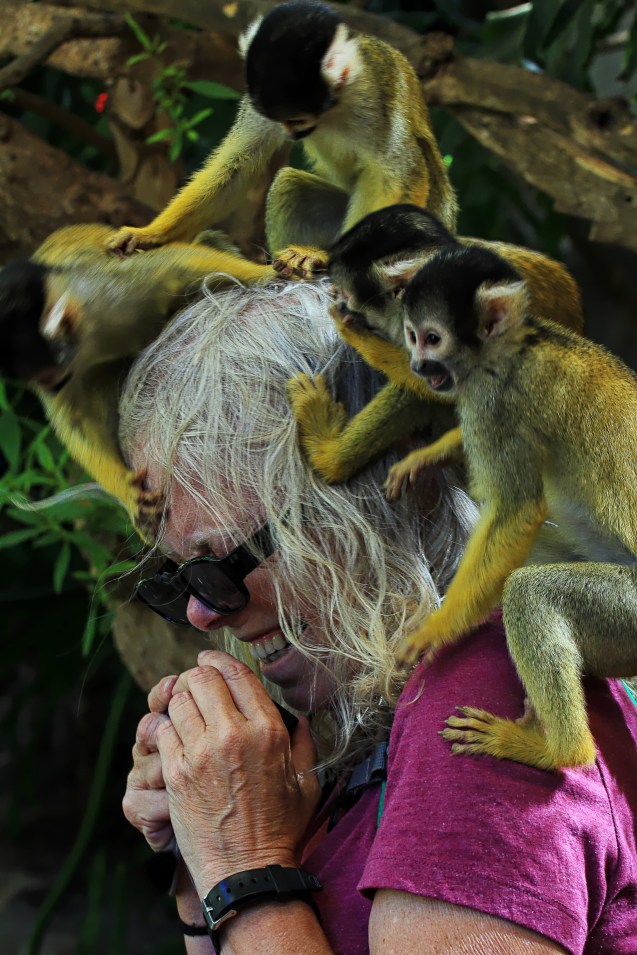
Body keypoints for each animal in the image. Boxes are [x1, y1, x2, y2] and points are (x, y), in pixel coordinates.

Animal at [0, 223, 276, 536]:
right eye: (47, 382)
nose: (52, 386)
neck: (87, 334)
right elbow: (76, 421)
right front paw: (125, 490)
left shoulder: (102, 285)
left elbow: (174, 265)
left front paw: (270, 274)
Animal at [107, 1, 457, 280]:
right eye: (282, 120)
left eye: (297, 119)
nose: (291, 133)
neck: (333, 103)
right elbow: (236, 164)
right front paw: (151, 233)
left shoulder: (375, 94)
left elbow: (399, 174)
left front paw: (321, 255)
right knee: (288, 184)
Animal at [383, 242, 637, 771]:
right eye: (412, 337)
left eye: (432, 339)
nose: (417, 366)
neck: (512, 345)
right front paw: (434, 452)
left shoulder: (494, 399)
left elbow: (518, 509)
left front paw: (437, 628)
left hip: (630, 610)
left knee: (529, 590)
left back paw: (557, 749)